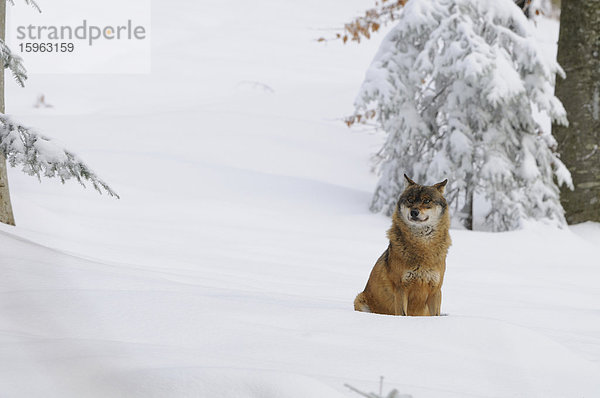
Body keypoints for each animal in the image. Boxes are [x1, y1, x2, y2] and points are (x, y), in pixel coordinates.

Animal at [352, 176, 450, 316]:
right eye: (410, 199)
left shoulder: (436, 290)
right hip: (359, 299)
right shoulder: (401, 288)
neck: (422, 247)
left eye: (427, 200)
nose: (414, 212)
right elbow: (402, 314)